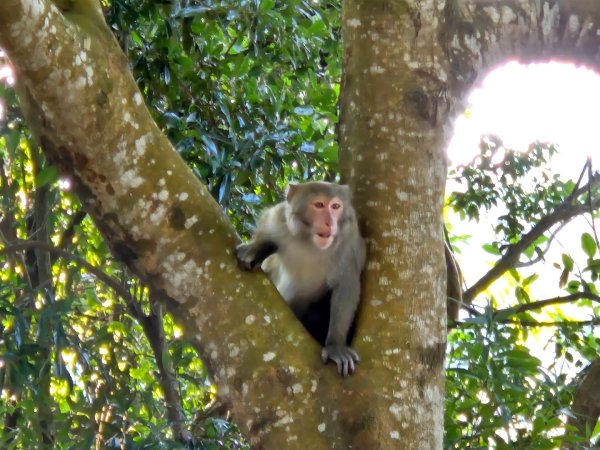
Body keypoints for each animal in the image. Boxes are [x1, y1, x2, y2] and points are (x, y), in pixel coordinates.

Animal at [236, 182, 366, 376]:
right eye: (319, 205)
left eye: (336, 206)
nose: (330, 222)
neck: (310, 243)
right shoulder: (278, 219)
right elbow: (266, 233)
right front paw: (256, 248)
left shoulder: (349, 245)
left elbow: (346, 287)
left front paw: (335, 346)